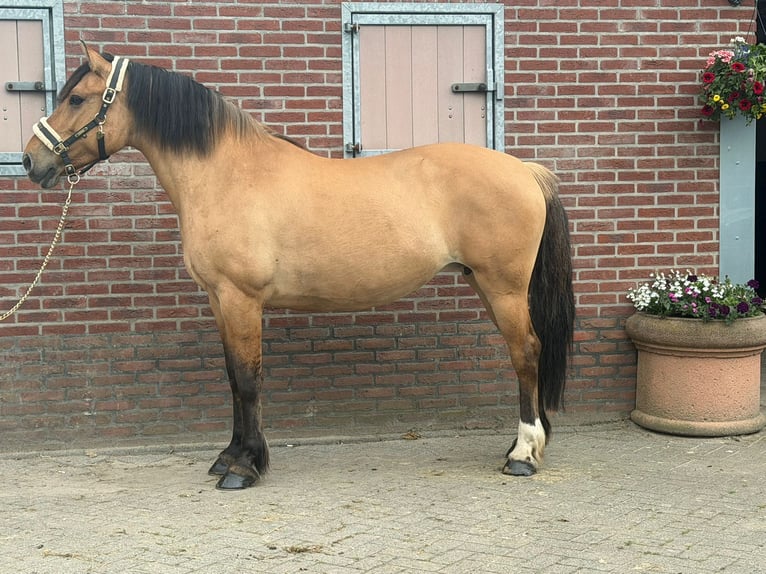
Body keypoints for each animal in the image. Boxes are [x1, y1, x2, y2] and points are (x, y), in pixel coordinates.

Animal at [23, 43, 575, 490]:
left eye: (77, 99)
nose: (30, 161)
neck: (225, 173)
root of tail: (525, 170)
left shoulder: (240, 298)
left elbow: (248, 379)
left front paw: (243, 468)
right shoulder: (218, 299)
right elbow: (232, 377)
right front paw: (229, 456)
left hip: (503, 287)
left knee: (526, 352)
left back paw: (523, 455)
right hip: (485, 284)